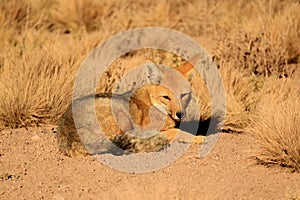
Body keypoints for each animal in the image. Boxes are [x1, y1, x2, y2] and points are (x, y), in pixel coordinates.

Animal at [56, 54, 204, 156]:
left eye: (183, 95)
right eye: (166, 97)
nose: (180, 114)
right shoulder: (145, 129)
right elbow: (176, 131)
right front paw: (197, 138)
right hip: (121, 116)